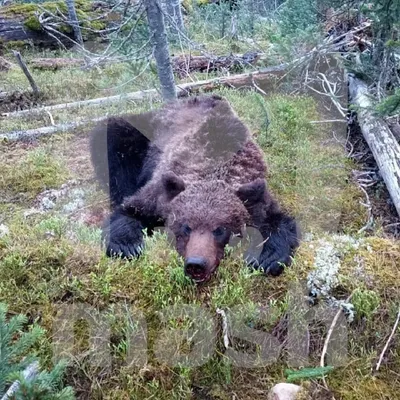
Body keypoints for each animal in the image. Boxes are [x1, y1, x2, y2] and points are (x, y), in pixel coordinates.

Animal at [90, 94, 296, 282]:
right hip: (146, 132)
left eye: (220, 229)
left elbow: (278, 221)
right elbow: (129, 210)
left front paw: (268, 258)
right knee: (112, 136)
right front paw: (128, 246)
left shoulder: (256, 193)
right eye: (186, 227)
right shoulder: (160, 192)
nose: (196, 264)